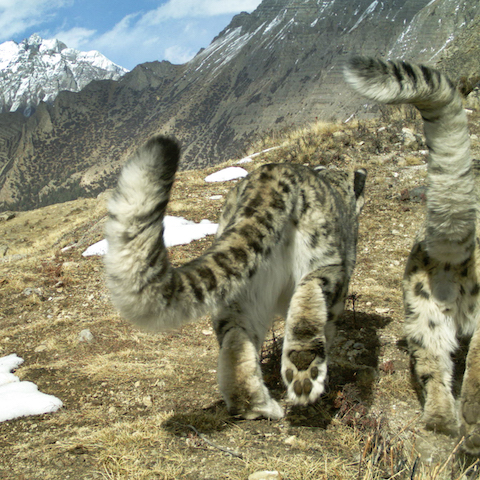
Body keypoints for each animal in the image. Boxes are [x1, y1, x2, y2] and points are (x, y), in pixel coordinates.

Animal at [105, 135, 368, 420]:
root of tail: (271, 176)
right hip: (323, 264)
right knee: (308, 298)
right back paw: (303, 372)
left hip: (241, 291)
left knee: (235, 340)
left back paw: (257, 405)